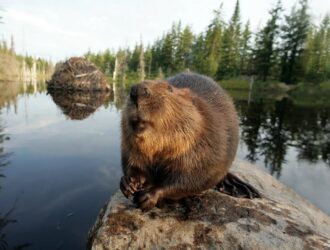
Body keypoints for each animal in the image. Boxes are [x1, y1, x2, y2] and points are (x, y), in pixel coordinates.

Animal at [120, 73, 260, 211]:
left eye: (170, 89)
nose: (136, 91)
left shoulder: (207, 143)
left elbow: (193, 178)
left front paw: (148, 196)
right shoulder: (129, 144)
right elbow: (133, 162)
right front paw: (128, 183)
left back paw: (243, 189)